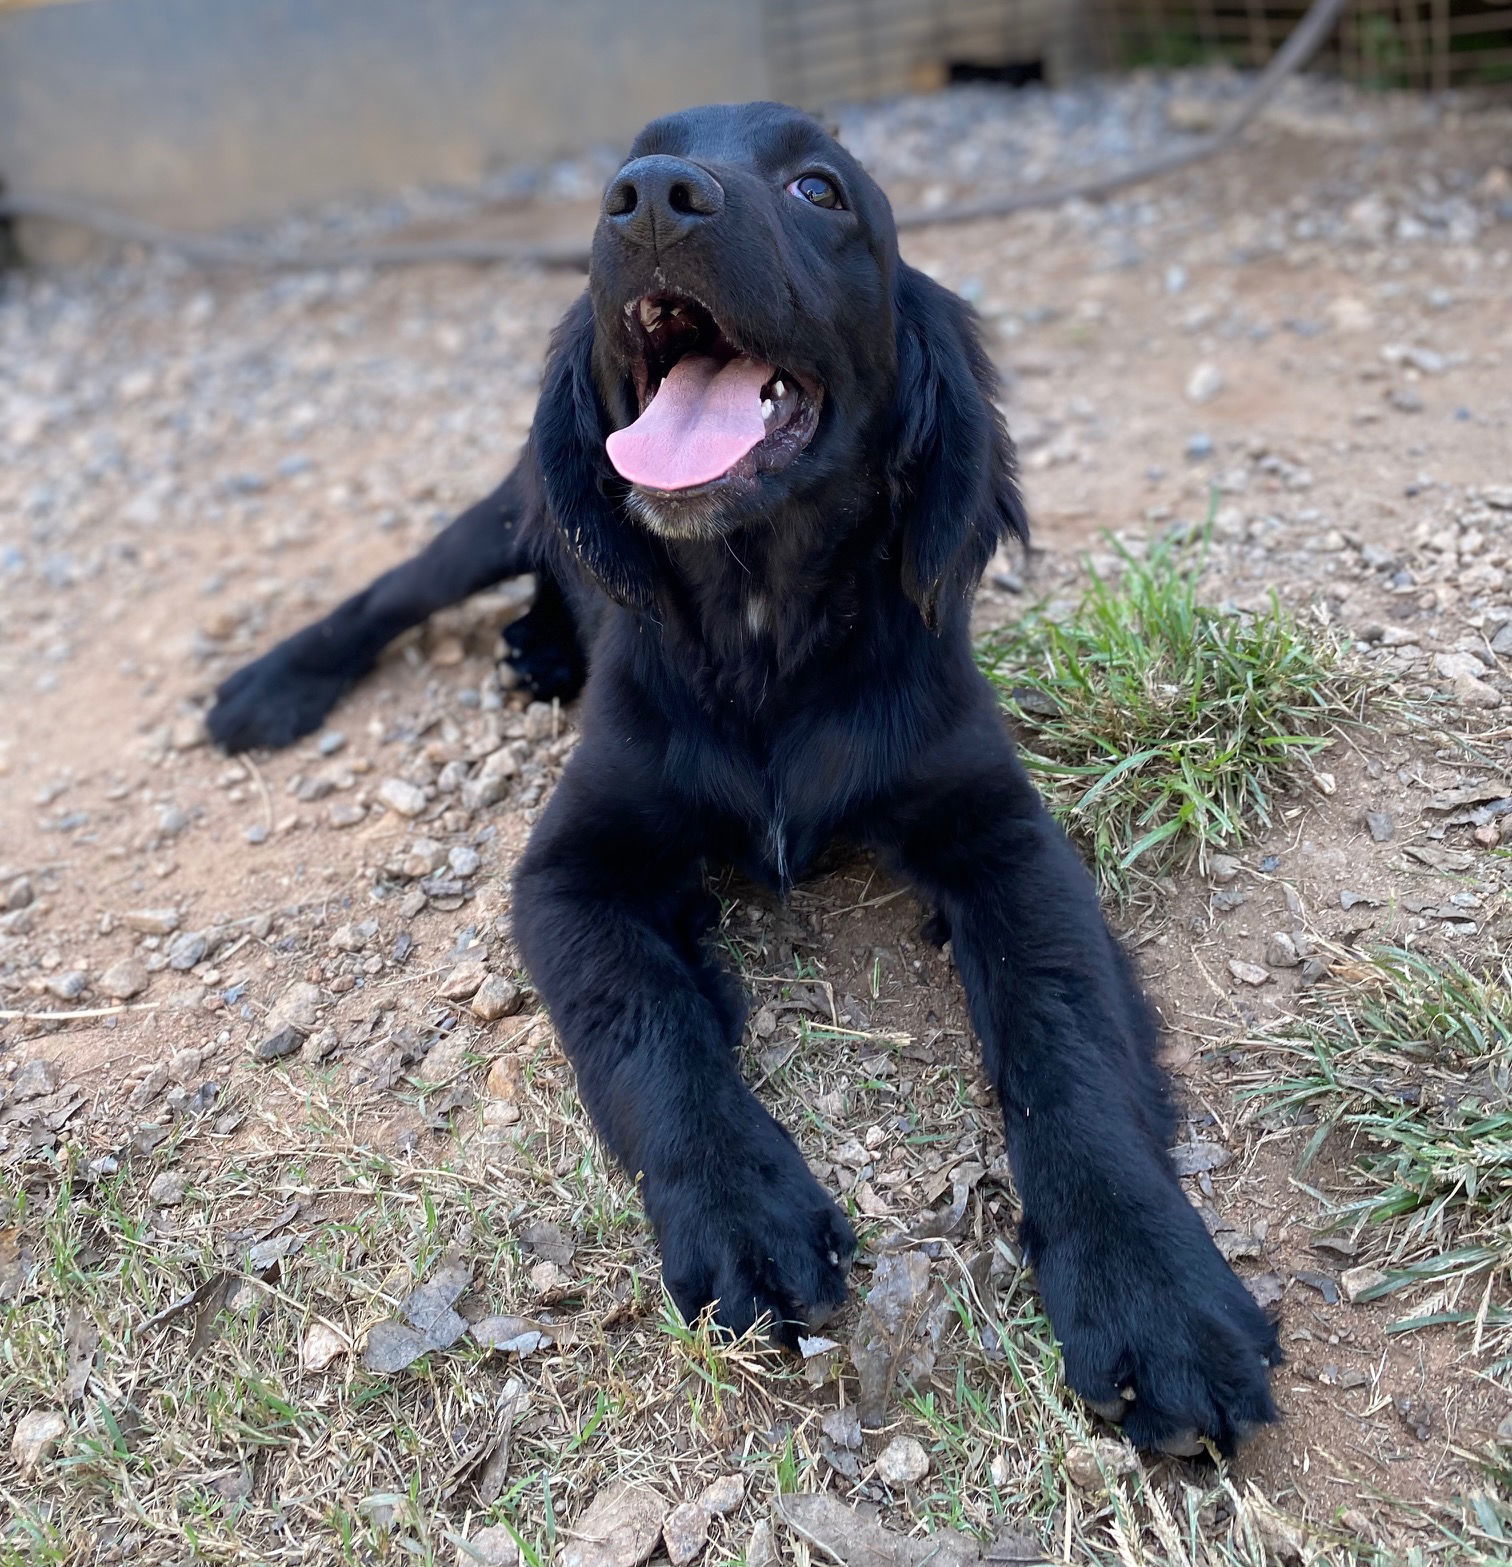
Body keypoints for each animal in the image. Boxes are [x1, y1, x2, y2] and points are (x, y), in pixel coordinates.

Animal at [209, 107, 1272, 1454]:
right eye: (625, 166)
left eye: (820, 188)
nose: (652, 195)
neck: (763, 623)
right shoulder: (571, 868)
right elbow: (650, 1020)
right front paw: (741, 1215)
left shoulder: (1002, 833)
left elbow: (1064, 1036)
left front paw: (1153, 1291)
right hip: (499, 512)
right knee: (399, 590)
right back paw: (275, 685)